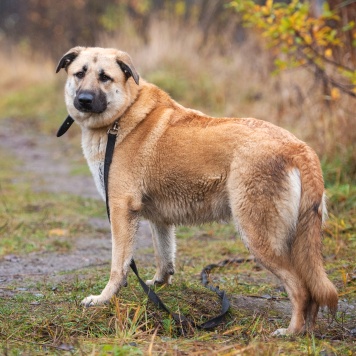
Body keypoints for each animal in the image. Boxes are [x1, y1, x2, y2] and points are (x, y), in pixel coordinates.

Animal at [57, 46, 338, 336]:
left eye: (105, 77)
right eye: (80, 74)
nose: (84, 100)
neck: (123, 114)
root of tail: (300, 148)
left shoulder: (121, 210)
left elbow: (118, 265)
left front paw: (103, 298)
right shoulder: (158, 219)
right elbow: (164, 256)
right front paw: (158, 287)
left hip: (258, 236)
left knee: (301, 288)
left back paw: (291, 331)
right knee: (312, 291)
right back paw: (307, 330)